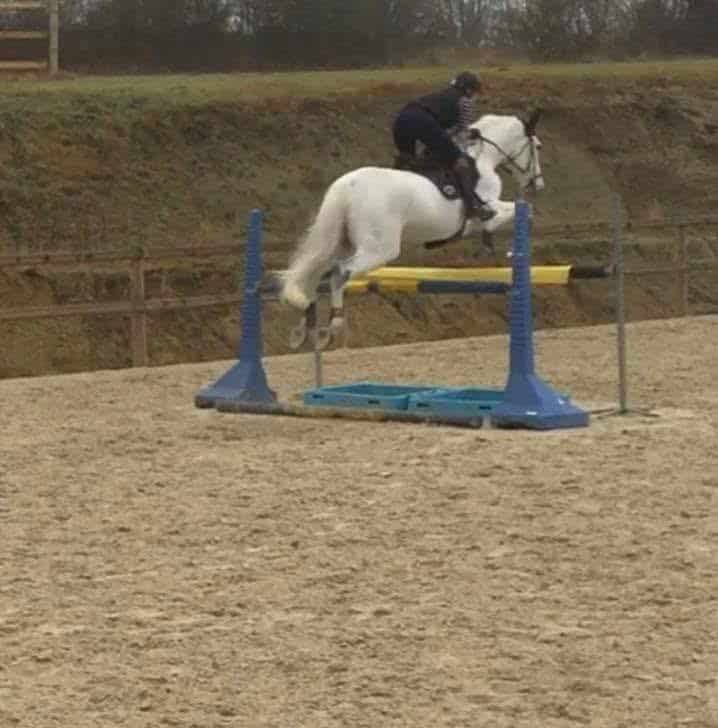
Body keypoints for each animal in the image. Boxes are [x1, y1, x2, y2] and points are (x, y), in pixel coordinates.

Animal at [278, 109, 545, 349]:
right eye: (538, 146)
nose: (538, 184)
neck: (483, 159)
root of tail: (346, 186)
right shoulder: (489, 209)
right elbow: (518, 211)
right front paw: (496, 245)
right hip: (379, 250)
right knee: (339, 273)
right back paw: (333, 325)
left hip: (341, 241)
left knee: (317, 274)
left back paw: (304, 328)